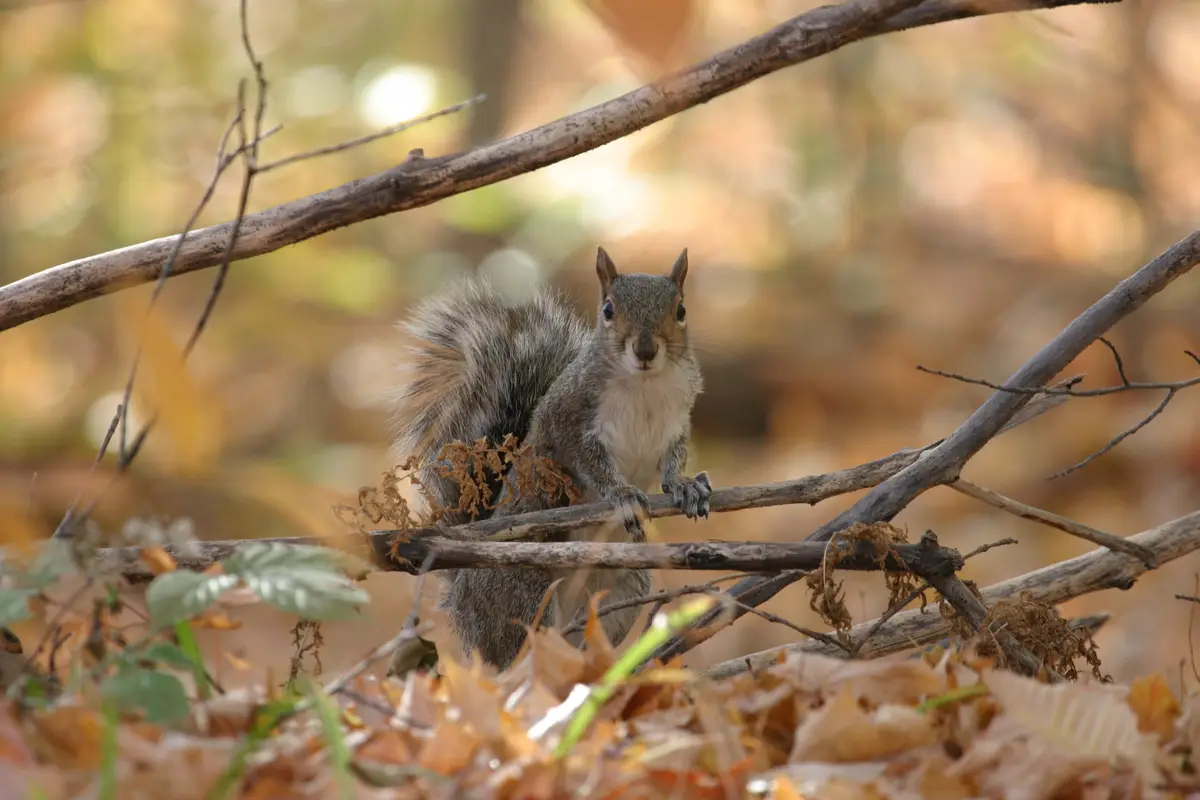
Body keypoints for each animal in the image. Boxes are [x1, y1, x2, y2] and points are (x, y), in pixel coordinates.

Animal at [389, 246, 711, 669]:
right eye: (608, 309)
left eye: (681, 309)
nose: (645, 350)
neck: (645, 385)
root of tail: (461, 594)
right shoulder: (569, 420)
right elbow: (591, 463)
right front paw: (622, 494)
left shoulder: (677, 421)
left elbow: (674, 459)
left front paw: (686, 486)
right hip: (525, 593)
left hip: (625, 587)